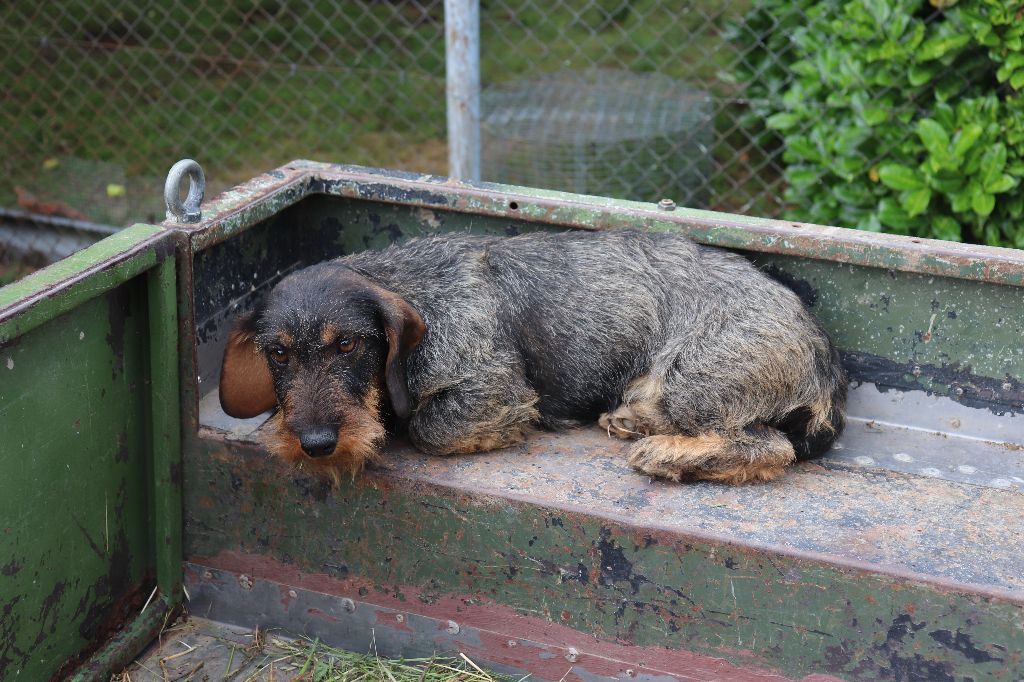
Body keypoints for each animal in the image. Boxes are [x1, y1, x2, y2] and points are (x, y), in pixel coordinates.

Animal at [218, 228, 847, 483]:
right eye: (277, 353)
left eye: (348, 344)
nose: (315, 444)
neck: (413, 286)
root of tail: (823, 354)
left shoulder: (492, 389)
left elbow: (429, 427)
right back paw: (636, 419)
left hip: (695, 381)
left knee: (770, 446)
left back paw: (667, 453)